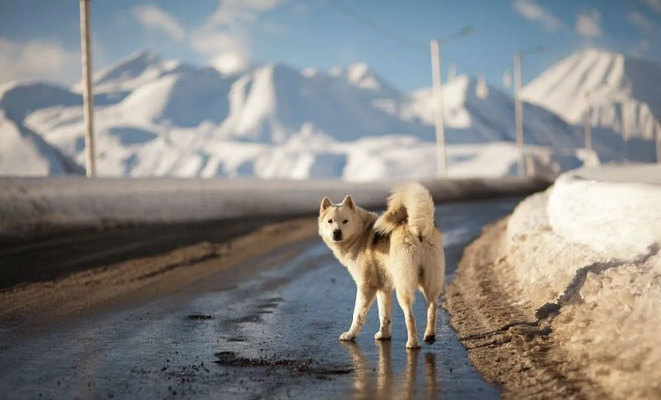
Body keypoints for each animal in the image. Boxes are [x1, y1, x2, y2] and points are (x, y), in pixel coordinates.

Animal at [318, 183, 446, 348]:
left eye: (345, 221)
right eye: (330, 221)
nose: (336, 232)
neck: (361, 233)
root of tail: (417, 226)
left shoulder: (366, 286)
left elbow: (357, 314)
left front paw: (350, 335)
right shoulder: (383, 289)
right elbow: (384, 315)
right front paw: (384, 335)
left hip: (403, 287)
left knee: (410, 317)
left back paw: (412, 343)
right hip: (429, 281)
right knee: (432, 307)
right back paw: (429, 335)